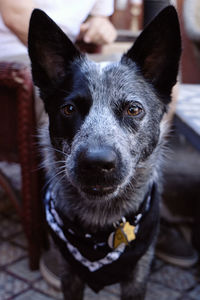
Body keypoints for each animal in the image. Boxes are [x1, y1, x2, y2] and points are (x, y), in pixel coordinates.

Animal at [29, 5, 181, 300]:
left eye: (133, 109)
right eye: (69, 109)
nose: (96, 163)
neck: (99, 228)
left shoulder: (136, 278)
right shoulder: (69, 275)